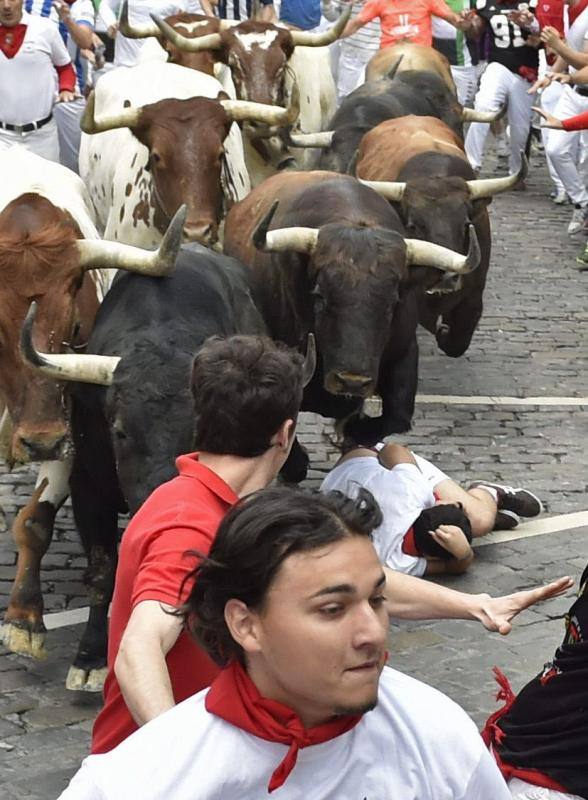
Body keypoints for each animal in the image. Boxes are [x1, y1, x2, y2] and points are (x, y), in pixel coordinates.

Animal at [223, 170, 480, 476]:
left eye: (393, 301)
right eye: (320, 295)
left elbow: (397, 416)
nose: (352, 381)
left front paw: (354, 433)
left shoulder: (404, 352)